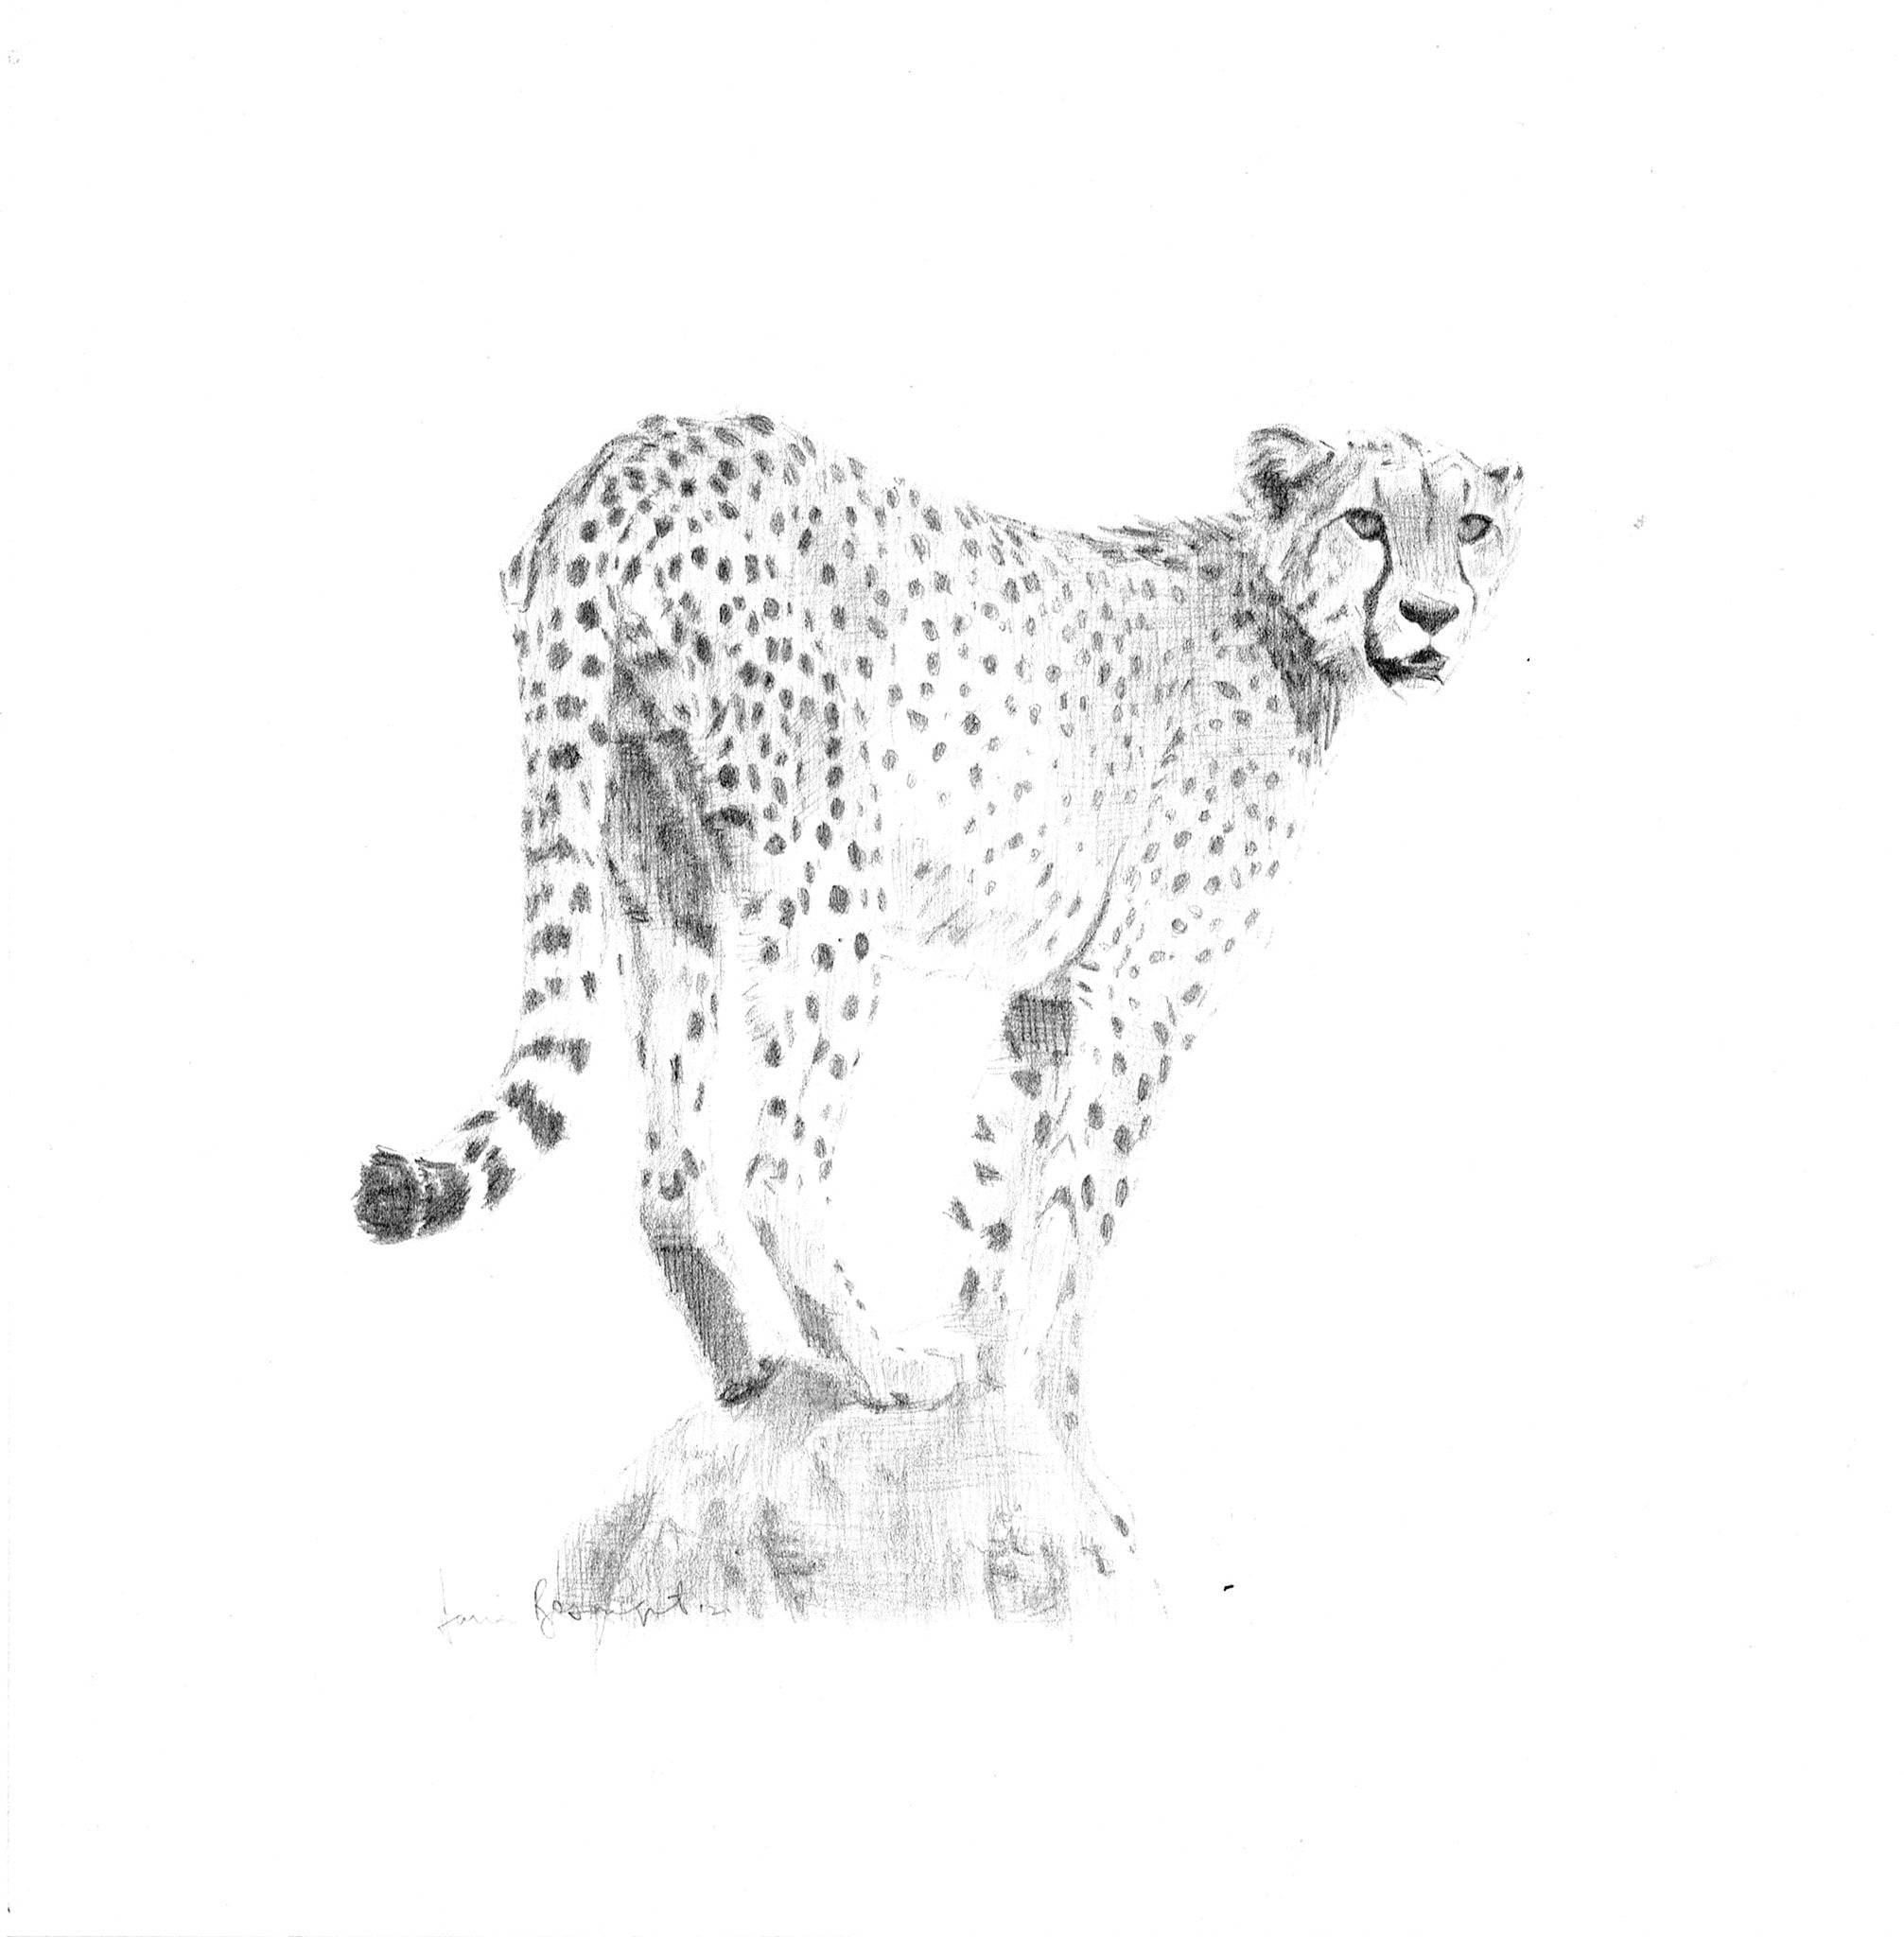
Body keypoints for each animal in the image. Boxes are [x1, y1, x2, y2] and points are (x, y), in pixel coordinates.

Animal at [354, 413, 1523, 1486]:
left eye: (1471, 525)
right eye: (1364, 521)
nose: (1431, 615)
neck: (1289, 618)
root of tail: (628, 462)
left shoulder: (1046, 995)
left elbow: (1000, 1194)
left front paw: (993, 1368)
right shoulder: (1143, 993)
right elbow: (1079, 1218)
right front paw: (1060, 1437)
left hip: (658, 874)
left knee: (673, 1170)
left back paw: (748, 1378)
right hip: (831, 895)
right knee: (778, 1166)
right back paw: (882, 1371)